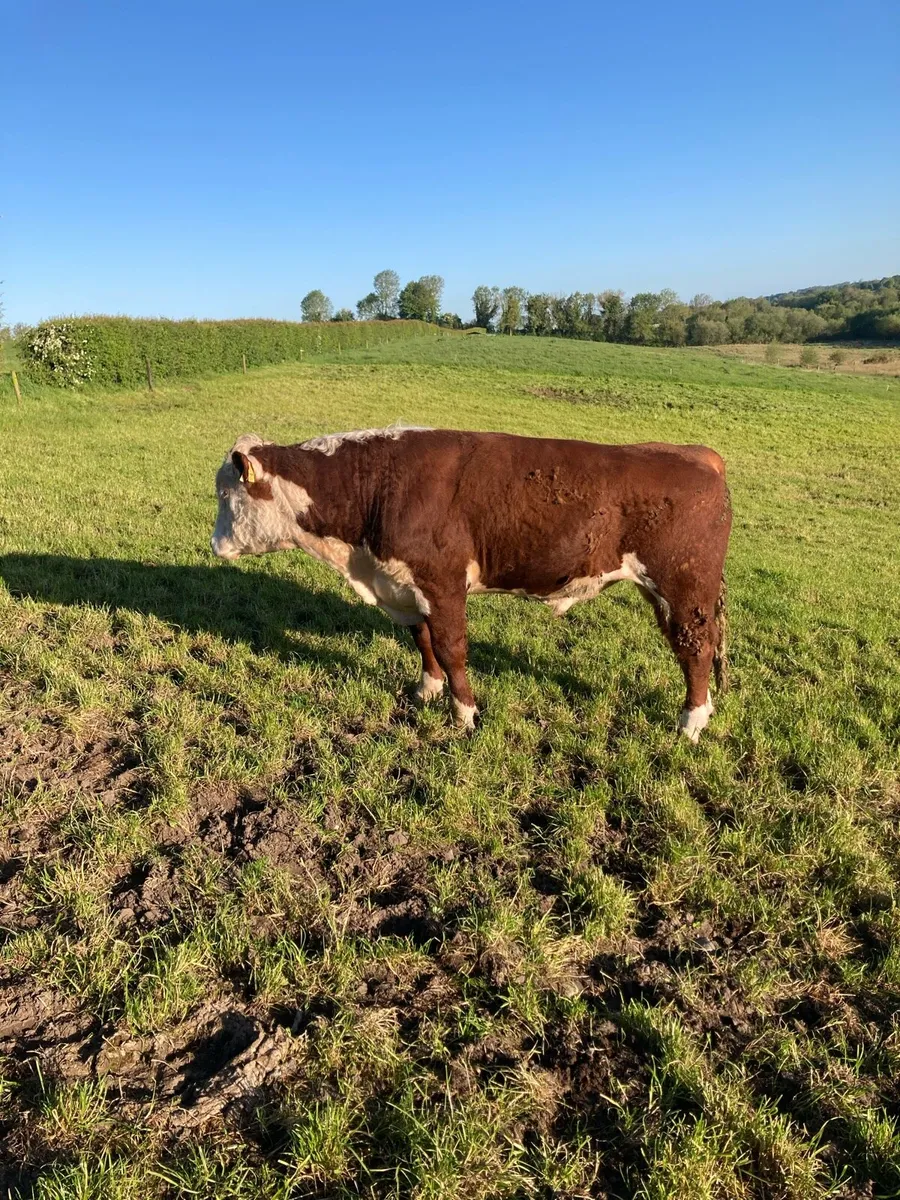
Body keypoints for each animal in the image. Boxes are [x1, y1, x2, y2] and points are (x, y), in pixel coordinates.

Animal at [212, 427, 732, 741]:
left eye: (226, 495)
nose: (215, 545)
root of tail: (697, 454)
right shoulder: (405, 585)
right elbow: (422, 640)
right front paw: (427, 689)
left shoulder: (443, 584)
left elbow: (451, 647)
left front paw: (463, 714)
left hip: (684, 588)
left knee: (695, 649)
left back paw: (690, 723)